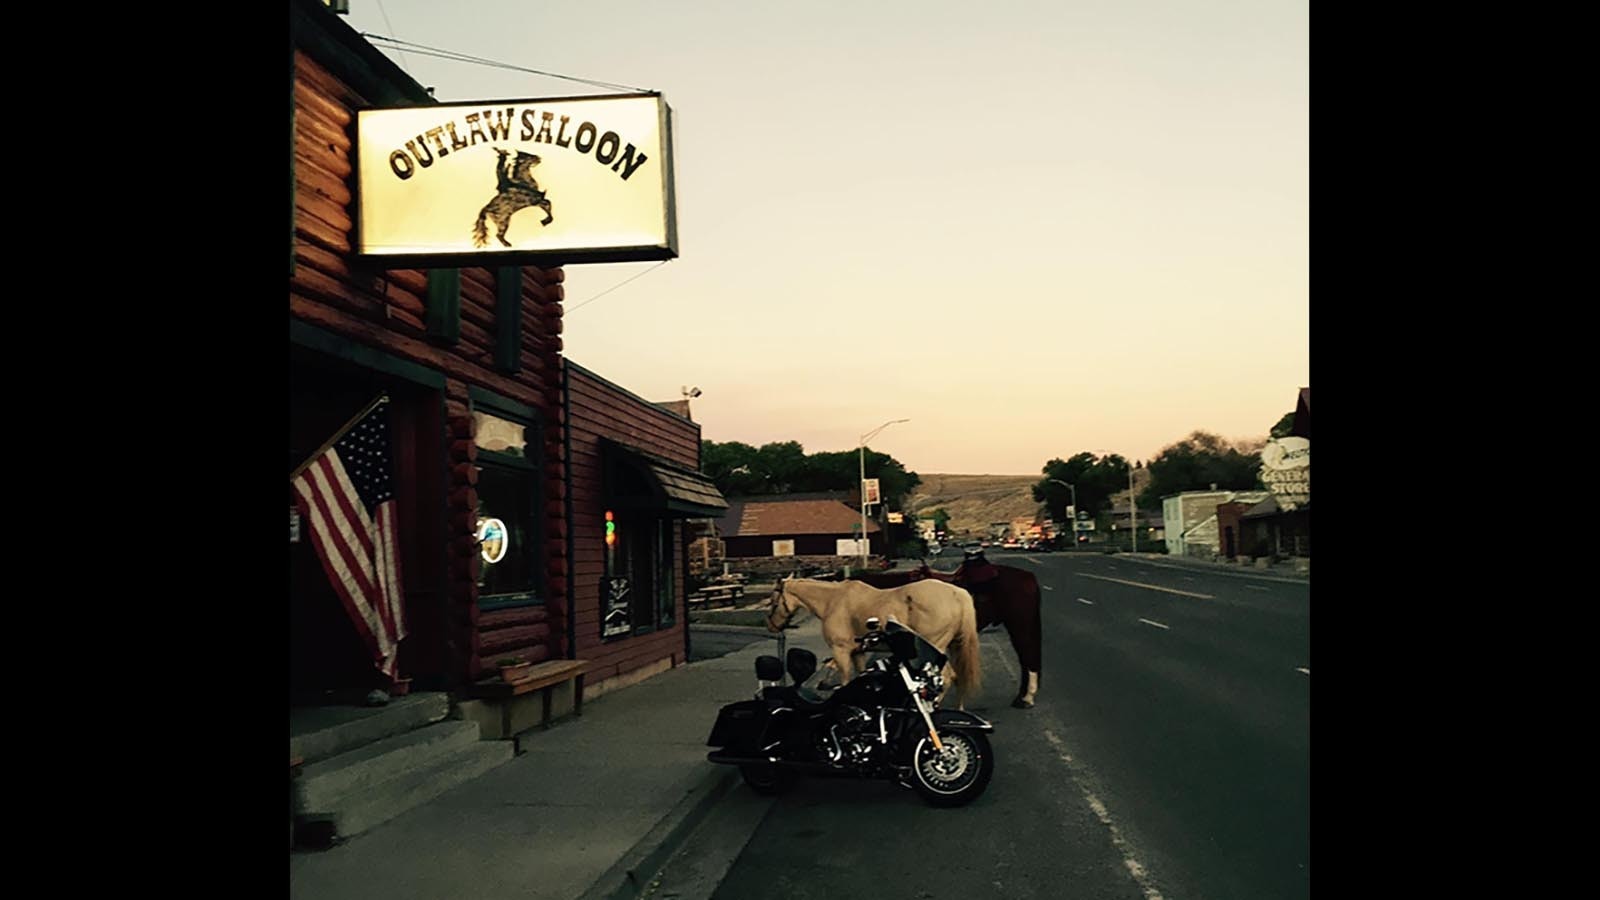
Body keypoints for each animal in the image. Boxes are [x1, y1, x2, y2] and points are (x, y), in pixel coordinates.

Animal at [764, 573, 979, 707]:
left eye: (773, 600)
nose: (771, 626)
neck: (832, 601)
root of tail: (957, 594)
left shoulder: (841, 651)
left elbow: (845, 679)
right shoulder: (858, 652)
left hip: (935, 647)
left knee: (947, 677)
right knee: (956, 677)